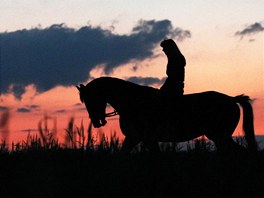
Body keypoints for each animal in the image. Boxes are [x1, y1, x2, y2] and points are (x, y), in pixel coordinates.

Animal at [76, 76, 258, 154]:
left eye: (90, 99)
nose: (97, 122)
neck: (134, 101)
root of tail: (231, 99)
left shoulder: (145, 138)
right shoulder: (135, 138)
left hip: (220, 136)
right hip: (220, 137)